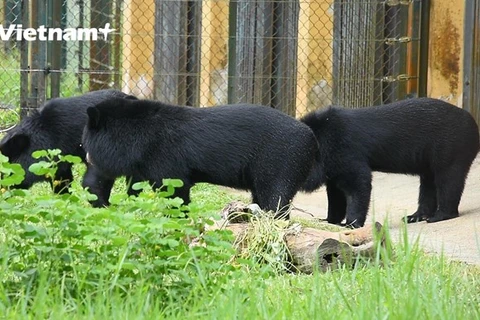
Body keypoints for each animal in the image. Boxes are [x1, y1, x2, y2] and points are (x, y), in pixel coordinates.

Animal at [81, 95, 318, 215]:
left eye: (85, 142)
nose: (88, 159)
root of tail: (311, 137)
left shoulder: (163, 156)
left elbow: (174, 189)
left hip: (280, 159)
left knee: (275, 196)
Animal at [300, 97, 480, 228]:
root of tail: (473, 124)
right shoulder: (332, 166)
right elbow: (335, 193)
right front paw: (328, 220)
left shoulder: (345, 150)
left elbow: (357, 184)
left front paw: (351, 224)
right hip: (430, 159)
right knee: (429, 184)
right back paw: (415, 217)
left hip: (450, 147)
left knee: (448, 179)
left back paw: (440, 215)